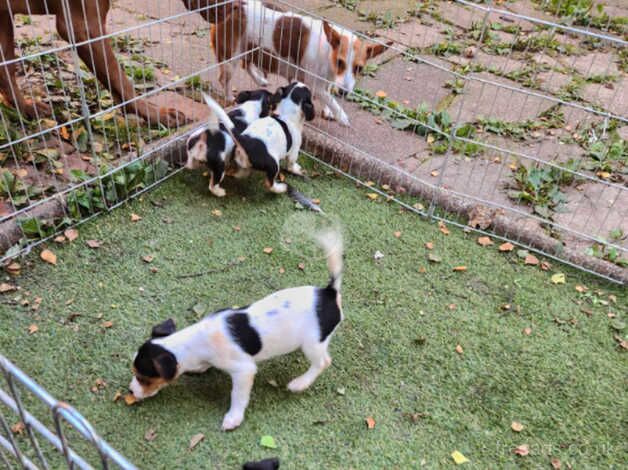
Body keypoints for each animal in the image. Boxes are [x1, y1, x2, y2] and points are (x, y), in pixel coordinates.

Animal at [128, 229, 344, 432]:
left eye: (143, 378)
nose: (130, 391)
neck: (194, 341)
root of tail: (329, 293)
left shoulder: (243, 371)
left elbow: (237, 396)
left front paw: (233, 417)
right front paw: (199, 368)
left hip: (313, 343)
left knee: (323, 362)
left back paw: (300, 383)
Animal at [211, 0, 388, 126]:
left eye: (359, 68)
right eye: (340, 62)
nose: (343, 92)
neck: (327, 51)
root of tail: (232, 6)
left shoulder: (327, 82)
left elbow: (329, 94)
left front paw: (328, 111)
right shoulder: (315, 85)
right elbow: (331, 99)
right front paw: (341, 116)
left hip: (251, 50)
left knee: (246, 65)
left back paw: (260, 80)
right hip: (231, 57)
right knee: (224, 79)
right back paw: (229, 97)